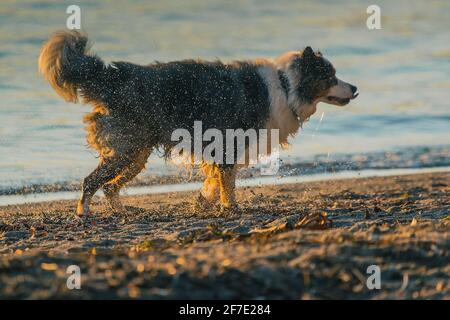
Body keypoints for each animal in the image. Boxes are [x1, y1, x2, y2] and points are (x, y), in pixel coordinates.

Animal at [37, 30, 358, 215]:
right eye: (331, 76)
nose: (355, 88)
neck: (286, 84)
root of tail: (113, 77)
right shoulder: (229, 142)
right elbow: (226, 183)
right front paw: (230, 208)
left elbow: (215, 181)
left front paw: (204, 201)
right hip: (126, 149)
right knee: (91, 181)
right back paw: (83, 214)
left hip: (136, 152)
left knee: (110, 187)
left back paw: (123, 211)